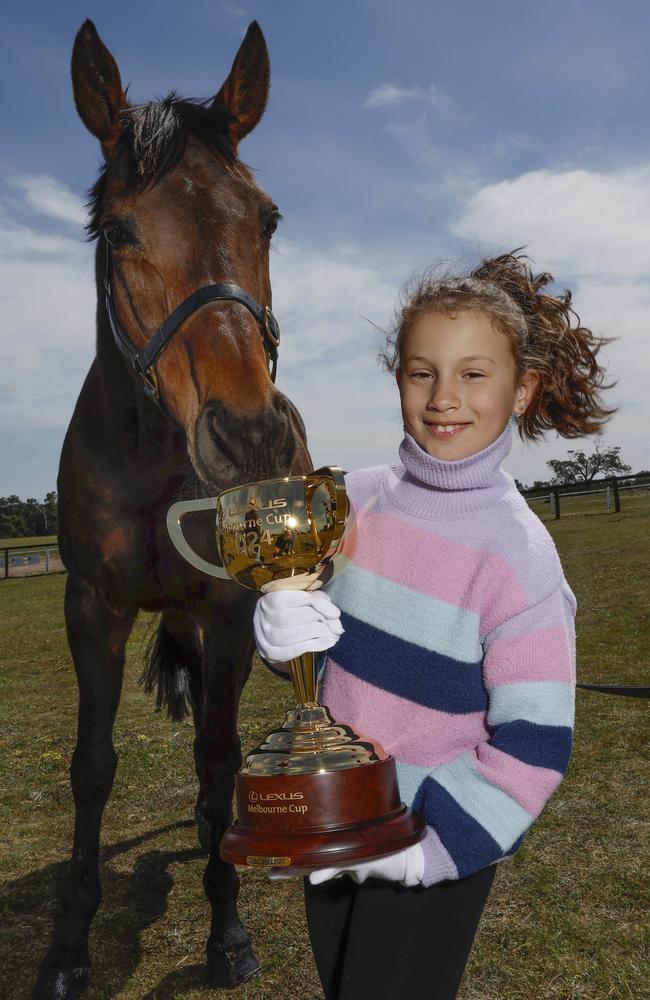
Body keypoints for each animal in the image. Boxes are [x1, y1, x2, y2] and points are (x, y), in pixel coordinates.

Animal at [33, 17, 312, 1000]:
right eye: (118, 231)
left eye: (267, 219)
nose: (250, 437)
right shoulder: (93, 606)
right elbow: (92, 768)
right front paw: (69, 947)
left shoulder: (226, 610)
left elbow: (219, 754)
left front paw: (227, 929)